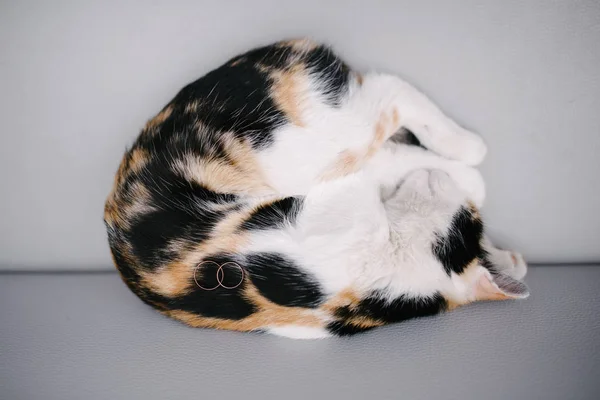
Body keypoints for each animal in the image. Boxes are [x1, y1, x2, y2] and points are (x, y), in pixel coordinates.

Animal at [105, 38, 528, 338]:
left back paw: (466, 146)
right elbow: (390, 165)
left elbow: (388, 163)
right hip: (297, 143)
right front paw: (469, 181)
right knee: (384, 97)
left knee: (383, 99)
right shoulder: (334, 194)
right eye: (471, 218)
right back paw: (470, 147)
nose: (444, 182)